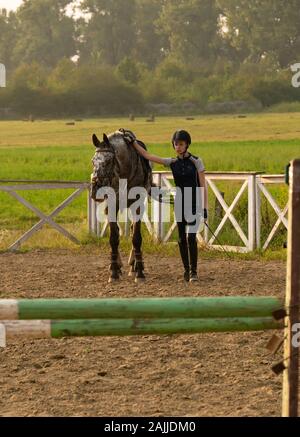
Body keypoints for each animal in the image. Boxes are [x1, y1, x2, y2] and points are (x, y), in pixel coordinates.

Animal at [90, 129, 152, 284]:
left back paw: (134, 265)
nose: (96, 188)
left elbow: (136, 237)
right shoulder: (112, 205)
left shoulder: (137, 205)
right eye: (93, 161)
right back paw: (118, 265)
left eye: (108, 161)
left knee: (132, 230)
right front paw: (113, 271)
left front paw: (140, 272)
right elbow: (114, 237)